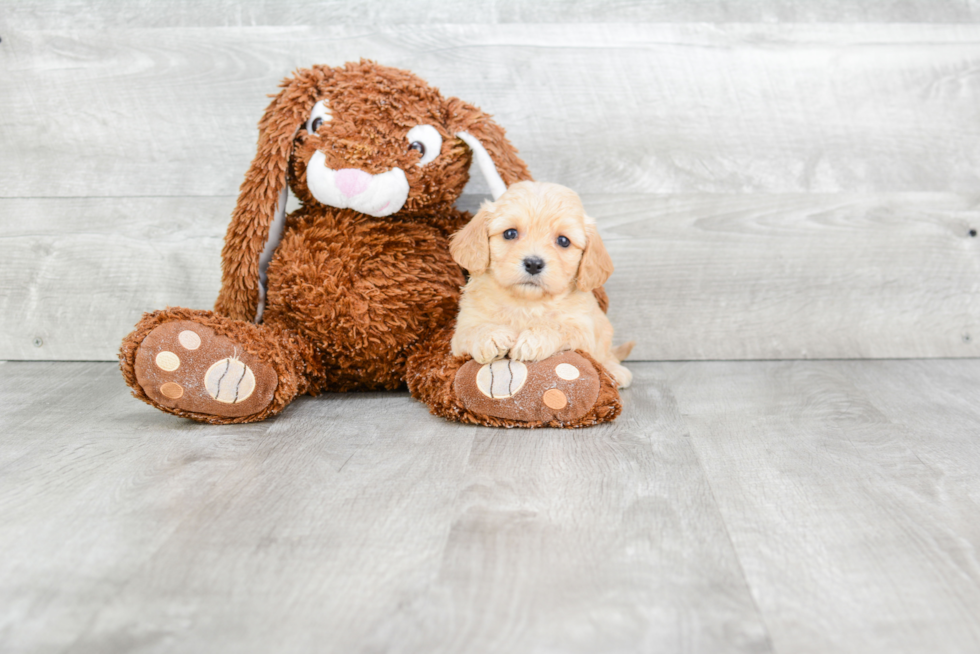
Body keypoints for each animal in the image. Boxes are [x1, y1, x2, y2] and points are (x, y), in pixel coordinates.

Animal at [448, 179, 632, 390]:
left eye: (563, 240)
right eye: (510, 233)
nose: (534, 264)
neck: (525, 303)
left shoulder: (583, 331)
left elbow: (559, 326)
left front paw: (532, 340)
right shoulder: (460, 333)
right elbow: (472, 330)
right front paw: (491, 336)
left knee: (607, 356)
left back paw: (616, 371)